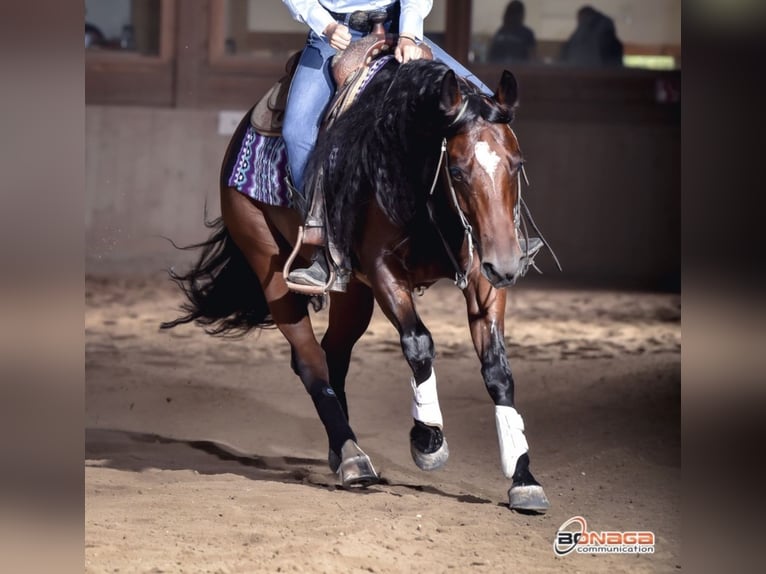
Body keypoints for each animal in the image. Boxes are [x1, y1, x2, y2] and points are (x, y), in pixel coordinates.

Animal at [164, 55, 552, 512]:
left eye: (517, 163)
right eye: (457, 171)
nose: (507, 264)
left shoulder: (482, 275)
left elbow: (497, 369)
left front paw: (523, 477)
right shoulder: (384, 270)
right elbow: (419, 343)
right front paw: (428, 440)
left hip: (353, 293)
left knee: (334, 355)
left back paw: (341, 449)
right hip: (270, 267)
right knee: (310, 360)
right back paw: (352, 456)